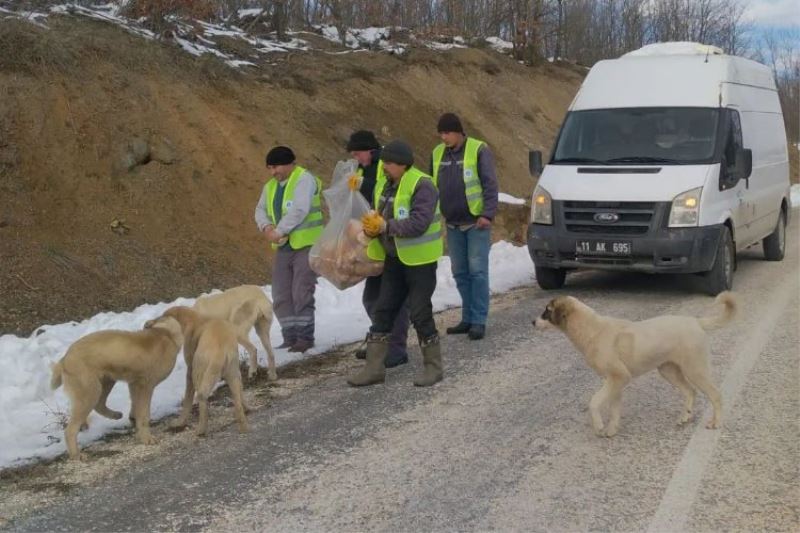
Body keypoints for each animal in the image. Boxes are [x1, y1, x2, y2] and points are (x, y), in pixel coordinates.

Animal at [49, 316, 184, 462]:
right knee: (71, 430)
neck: (164, 334)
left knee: (99, 405)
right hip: (90, 392)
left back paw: (115, 415)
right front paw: (146, 438)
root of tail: (63, 361)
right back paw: (76, 455)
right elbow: (144, 414)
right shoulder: (145, 386)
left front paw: (134, 422)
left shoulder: (134, 384)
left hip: (105, 382)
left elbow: (136, 408)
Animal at [153, 306, 247, 434]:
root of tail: (220, 352)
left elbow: (187, 400)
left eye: (164, 316)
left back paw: (201, 429)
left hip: (198, 373)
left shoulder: (189, 371)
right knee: (238, 396)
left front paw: (180, 422)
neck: (193, 319)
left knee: (203, 401)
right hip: (233, 372)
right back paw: (244, 421)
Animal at [536, 290, 740, 436]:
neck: (592, 330)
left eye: (547, 311)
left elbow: (594, 402)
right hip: (668, 370)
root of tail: (696, 322)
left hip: (695, 370)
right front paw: (611, 430)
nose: (532, 322)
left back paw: (716, 422)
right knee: (690, 391)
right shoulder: (614, 382)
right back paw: (685, 417)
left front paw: (599, 425)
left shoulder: (619, 377)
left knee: (715, 395)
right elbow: (614, 409)